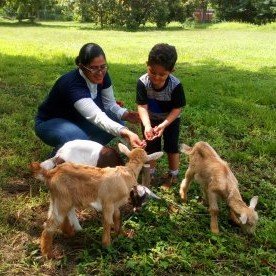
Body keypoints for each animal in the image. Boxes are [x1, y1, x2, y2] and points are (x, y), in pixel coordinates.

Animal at [29, 143, 164, 258]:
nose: (138, 210)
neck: (127, 172)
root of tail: (50, 173)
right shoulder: (107, 203)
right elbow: (108, 222)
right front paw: (107, 245)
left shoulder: (115, 205)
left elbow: (117, 217)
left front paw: (121, 234)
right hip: (63, 200)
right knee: (49, 227)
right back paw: (49, 255)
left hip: (57, 198)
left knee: (54, 219)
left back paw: (69, 233)